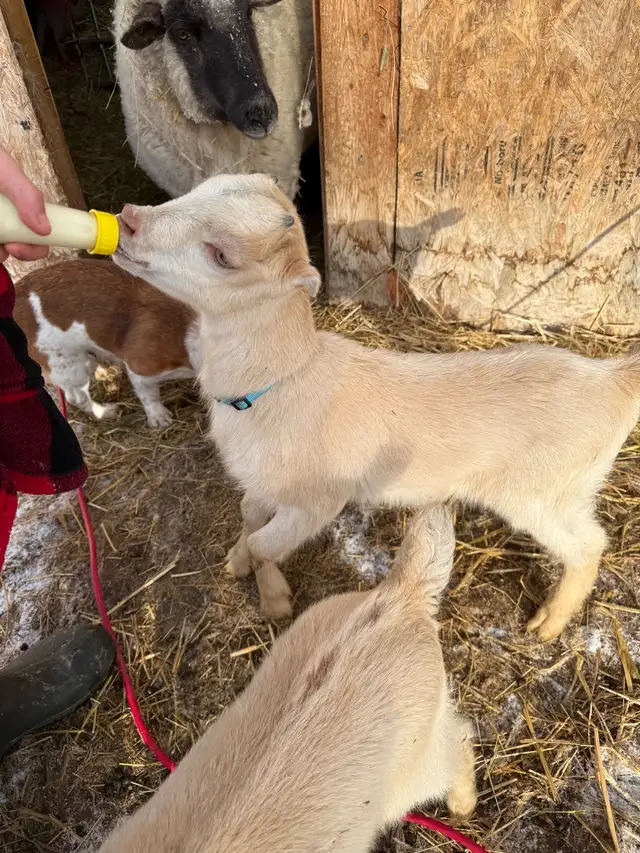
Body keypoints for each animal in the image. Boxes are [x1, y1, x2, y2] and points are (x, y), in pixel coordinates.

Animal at [113, 173, 640, 641]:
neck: (276, 381)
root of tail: (610, 378)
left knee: (589, 545)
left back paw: (549, 622)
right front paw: (236, 562)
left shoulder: (316, 501)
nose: (129, 219)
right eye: (197, 188)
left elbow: (266, 544)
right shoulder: (263, 480)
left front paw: (275, 601)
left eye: (221, 255)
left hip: (544, 492)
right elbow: (248, 516)